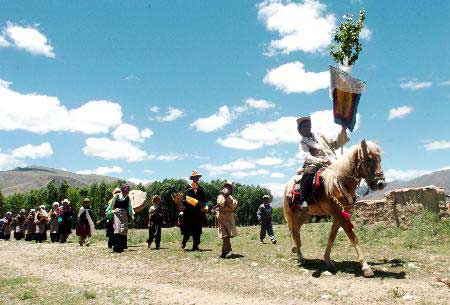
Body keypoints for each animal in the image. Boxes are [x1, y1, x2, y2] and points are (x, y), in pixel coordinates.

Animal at [284, 139, 384, 276]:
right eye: (368, 159)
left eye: (380, 159)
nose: (381, 183)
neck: (338, 184)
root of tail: (288, 186)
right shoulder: (338, 214)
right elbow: (352, 237)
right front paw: (366, 267)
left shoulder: (339, 214)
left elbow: (332, 236)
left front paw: (328, 260)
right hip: (292, 213)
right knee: (293, 231)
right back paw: (300, 257)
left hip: (304, 215)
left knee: (296, 230)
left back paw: (298, 252)